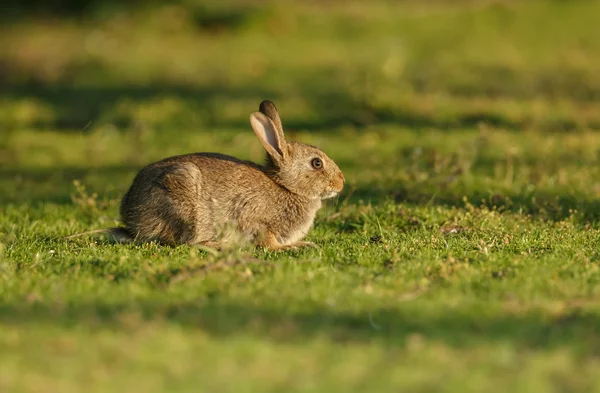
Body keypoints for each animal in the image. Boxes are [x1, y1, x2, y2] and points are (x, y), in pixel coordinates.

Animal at [105, 99, 344, 250]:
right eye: (316, 163)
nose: (341, 183)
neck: (286, 186)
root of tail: (132, 220)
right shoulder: (257, 221)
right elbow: (267, 241)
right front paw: (292, 247)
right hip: (187, 205)